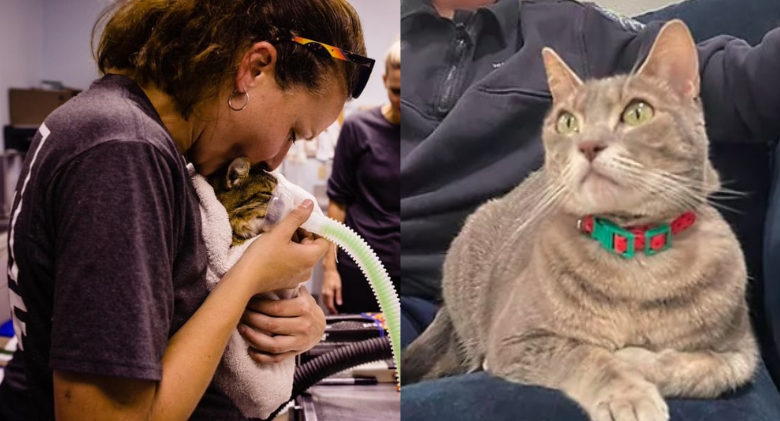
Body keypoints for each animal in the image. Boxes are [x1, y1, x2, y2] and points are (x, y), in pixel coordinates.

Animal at [406, 20, 760, 421]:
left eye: (637, 112)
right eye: (567, 122)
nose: (588, 144)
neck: (634, 252)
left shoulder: (741, 353)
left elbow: (699, 367)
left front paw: (636, 359)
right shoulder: (518, 339)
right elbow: (586, 356)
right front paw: (628, 394)